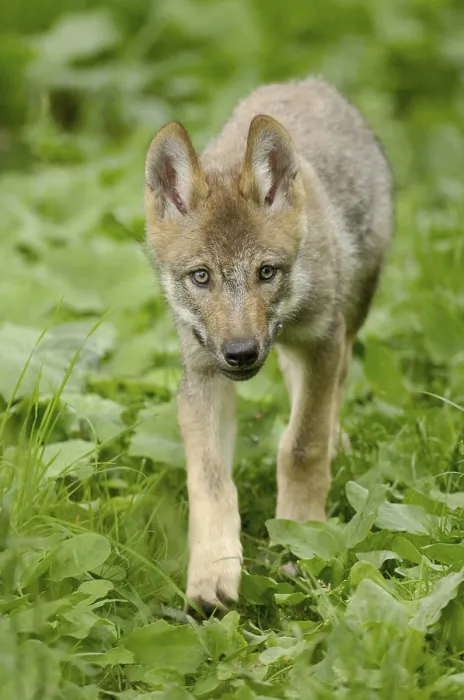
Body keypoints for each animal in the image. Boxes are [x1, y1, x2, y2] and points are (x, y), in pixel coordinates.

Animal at [144, 77, 392, 615]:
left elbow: (301, 446)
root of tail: (309, 82)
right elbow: (212, 482)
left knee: (329, 397)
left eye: (266, 272)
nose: (240, 352)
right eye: (201, 277)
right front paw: (213, 573)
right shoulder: (201, 376)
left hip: (345, 323)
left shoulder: (322, 341)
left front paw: (300, 535)